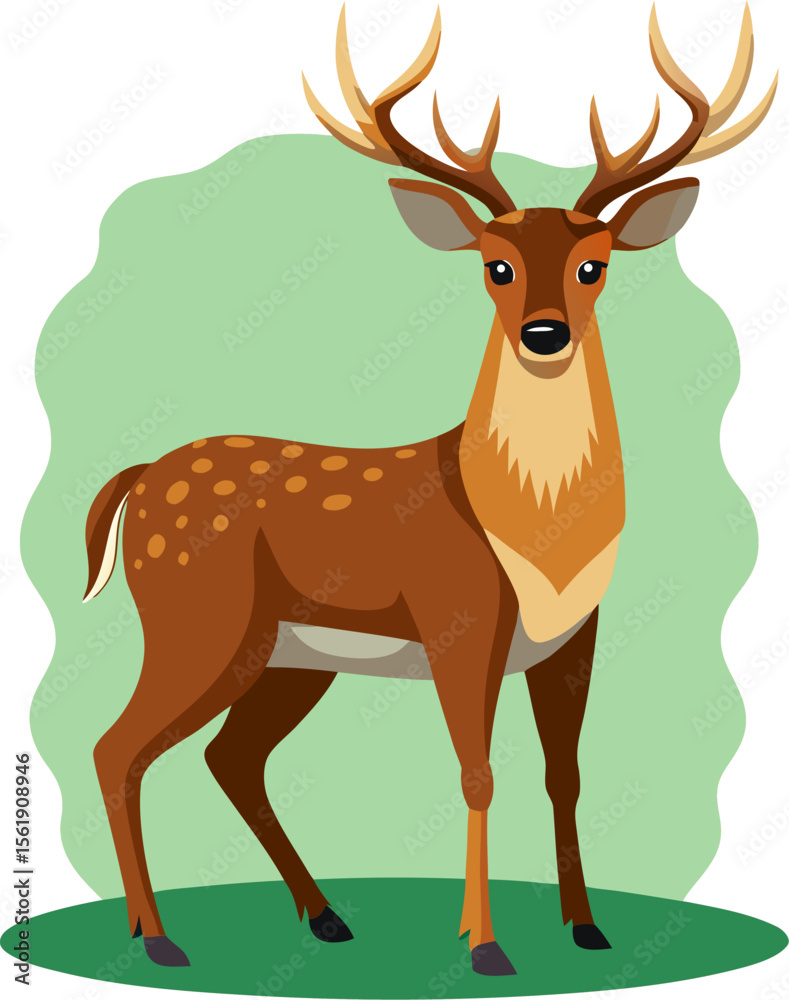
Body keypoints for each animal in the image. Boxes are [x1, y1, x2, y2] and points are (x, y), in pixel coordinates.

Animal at [83, 3, 776, 977]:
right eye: (494, 265)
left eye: (594, 263)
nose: (544, 333)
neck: (534, 541)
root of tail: (139, 478)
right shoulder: (459, 616)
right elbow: (476, 774)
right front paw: (484, 946)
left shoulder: (573, 637)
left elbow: (565, 774)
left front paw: (586, 928)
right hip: (197, 615)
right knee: (117, 748)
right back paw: (157, 937)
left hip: (287, 655)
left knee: (230, 758)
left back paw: (324, 917)